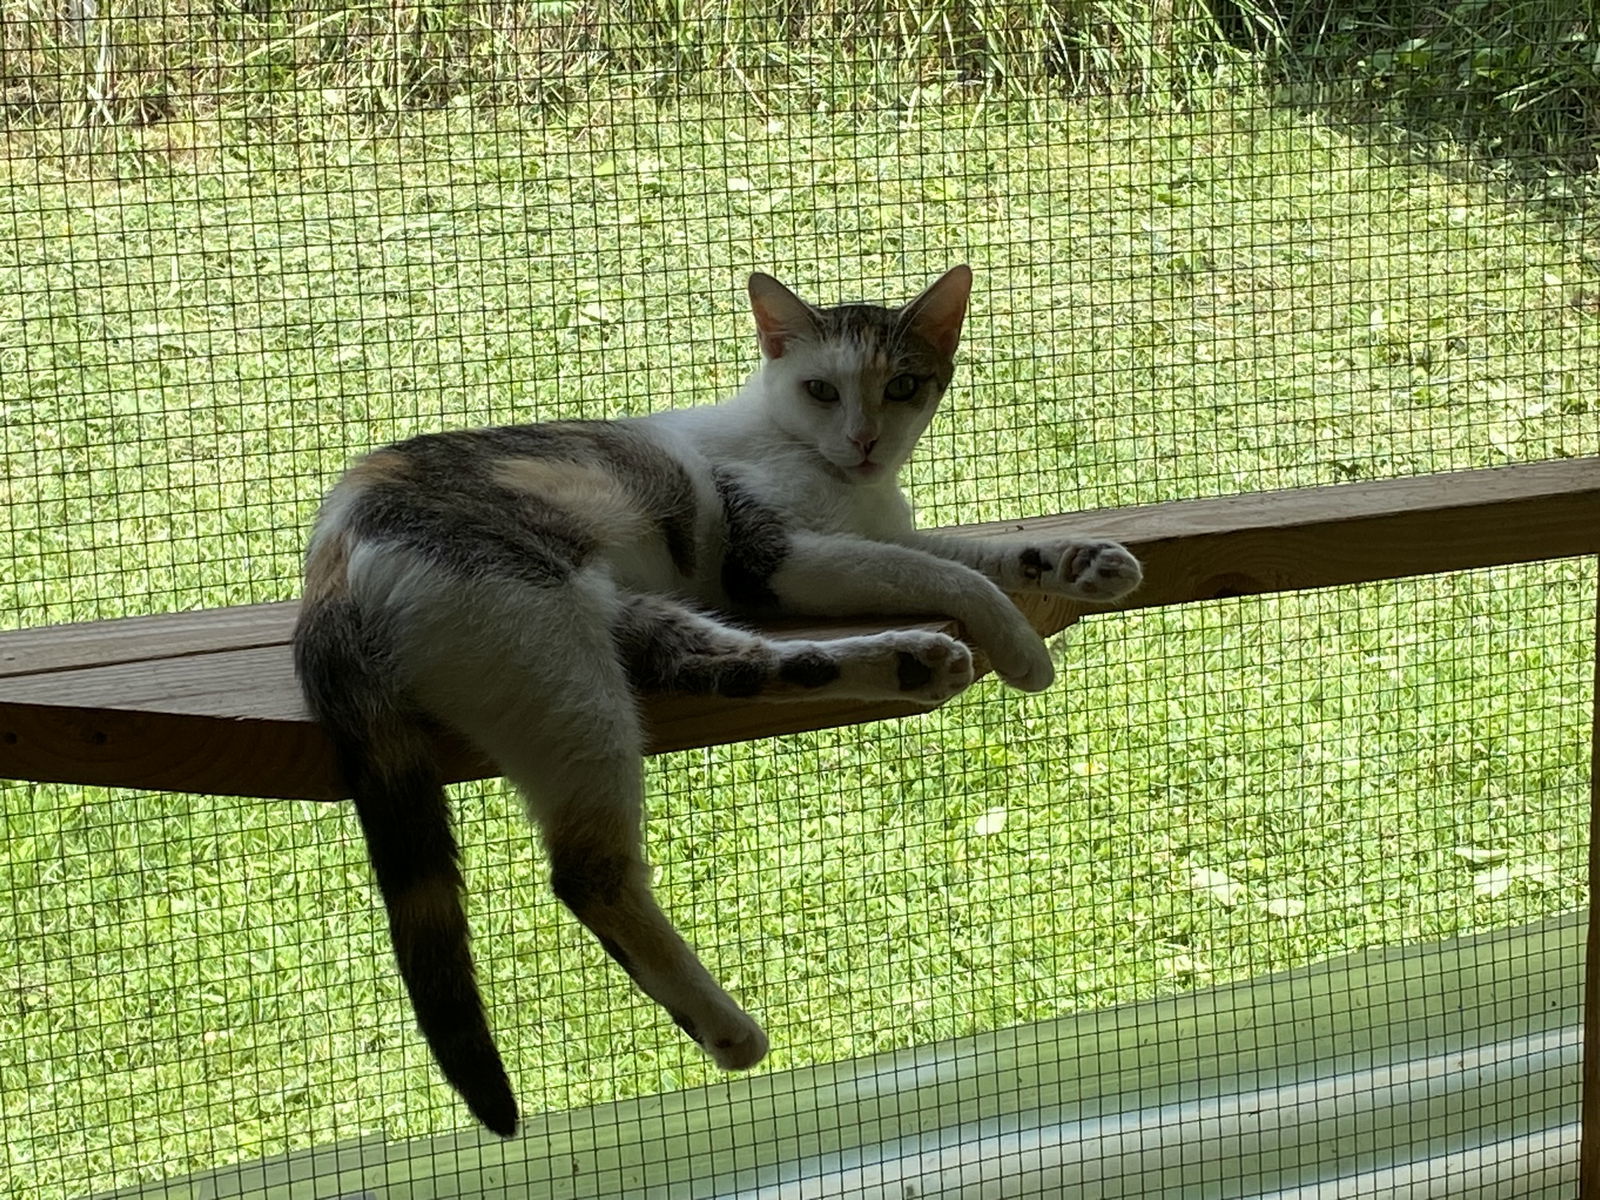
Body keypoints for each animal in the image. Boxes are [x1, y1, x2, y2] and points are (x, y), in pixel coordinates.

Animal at [288, 267, 1139, 1139]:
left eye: (901, 386)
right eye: (821, 389)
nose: (864, 440)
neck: (839, 481)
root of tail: (329, 565)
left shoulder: (879, 532)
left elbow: (978, 550)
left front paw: (1081, 561)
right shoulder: (774, 561)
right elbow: (953, 573)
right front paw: (1024, 647)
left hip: (614, 616)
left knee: (738, 667)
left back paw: (912, 662)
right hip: (553, 646)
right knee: (589, 871)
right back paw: (728, 1029)